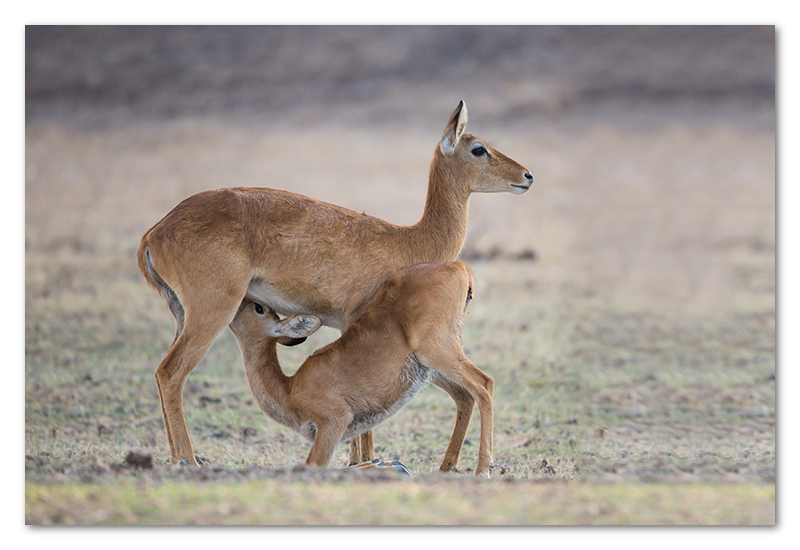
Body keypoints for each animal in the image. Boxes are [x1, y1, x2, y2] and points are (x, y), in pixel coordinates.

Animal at [228, 264, 494, 478]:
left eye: (259, 307)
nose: (239, 298)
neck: (289, 390)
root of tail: (459, 268)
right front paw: (388, 464)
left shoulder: (334, 422)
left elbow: (312, 465)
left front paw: (389, 466)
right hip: (430, 368)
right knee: (464, 396)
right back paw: (445, 467)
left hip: (438, 353)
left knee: (484, 384)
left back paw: (483, 470)